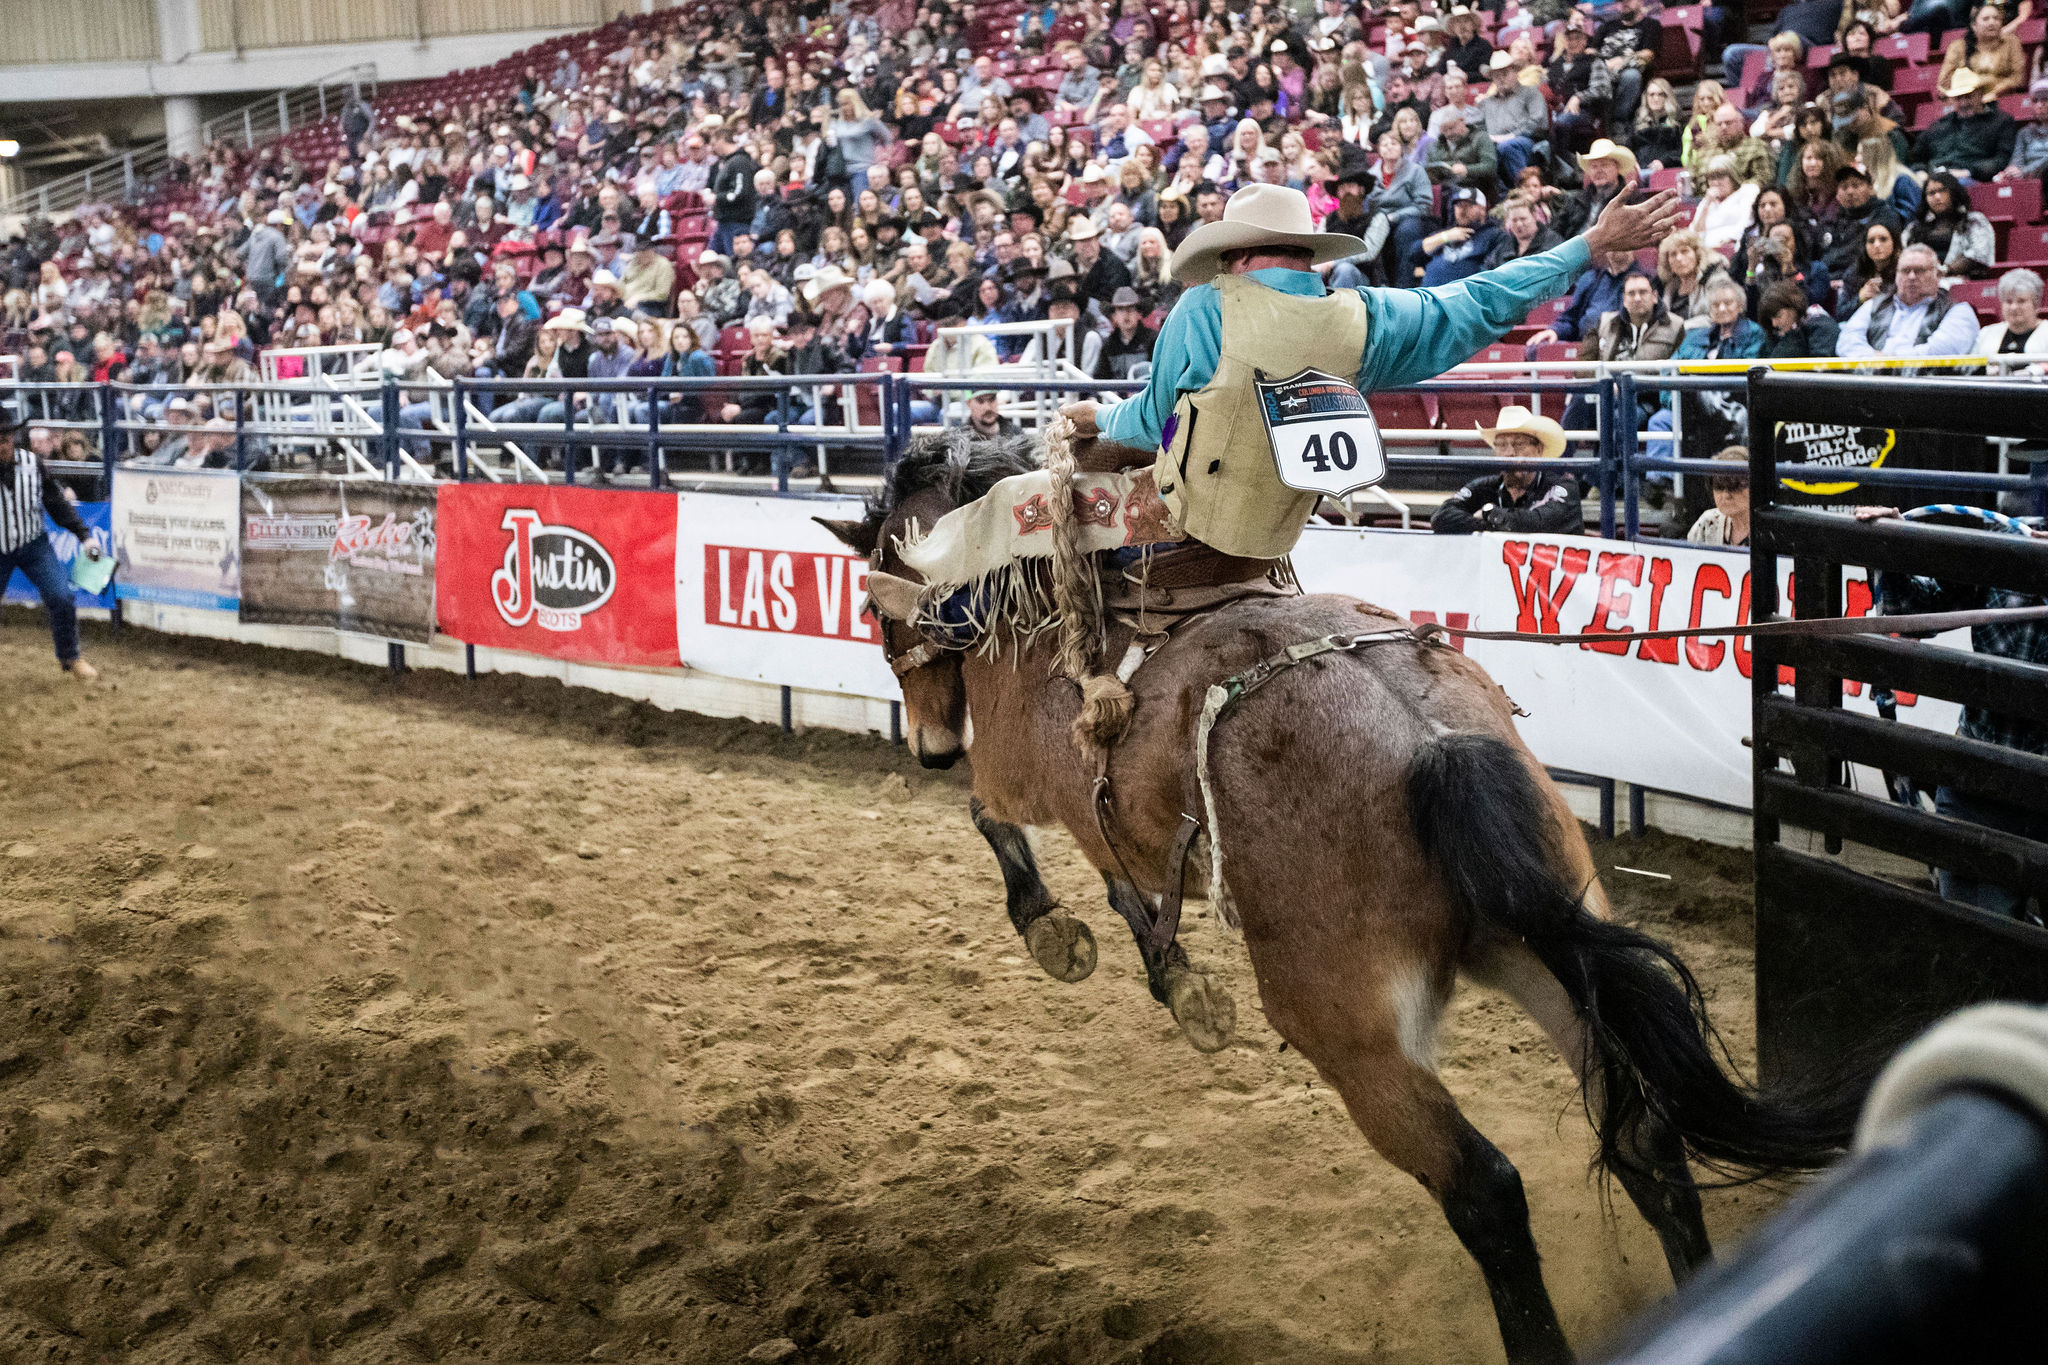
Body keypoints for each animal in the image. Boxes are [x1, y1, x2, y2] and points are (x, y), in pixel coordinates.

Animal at [819, 427, 1859, 1365]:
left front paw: (1058, 934)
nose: (928, 746)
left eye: (875, 608)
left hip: (1350, 1030)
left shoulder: (1021, 775)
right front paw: (1181, 985)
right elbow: (1125, 887)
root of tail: (1430, 746)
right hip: (1543, 948)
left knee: (1486, 1188)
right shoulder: (1098, 815)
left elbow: (1001, 827)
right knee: (1642, 1130)